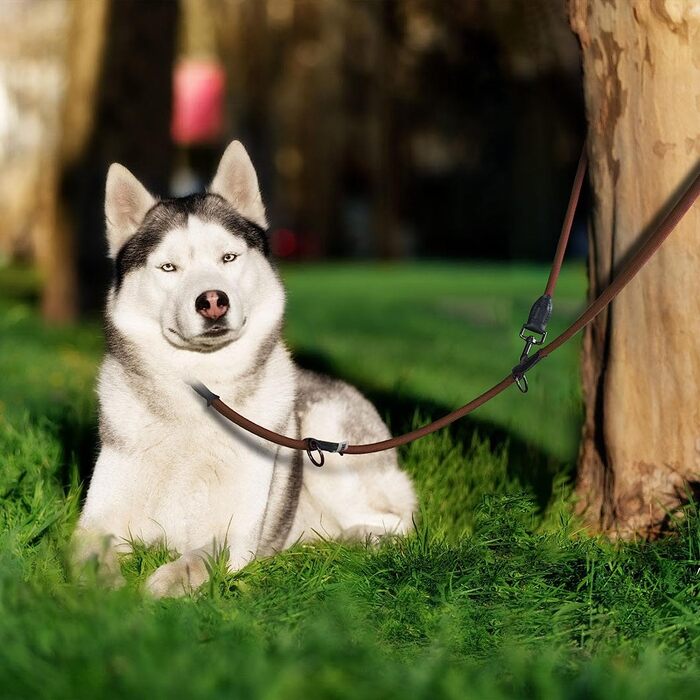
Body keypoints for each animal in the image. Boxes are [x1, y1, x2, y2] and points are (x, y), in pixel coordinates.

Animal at [74, 141, 418, 596]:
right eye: (168, 267)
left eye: (228, 257)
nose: (212, 300)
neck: (200, 395)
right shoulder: (96, 521)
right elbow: (87, 551)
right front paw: (102, 591)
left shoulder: (233, 536)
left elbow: (200, 558)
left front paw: (166, 584)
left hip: (330, 449)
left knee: (398, 522)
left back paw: (354, 540)